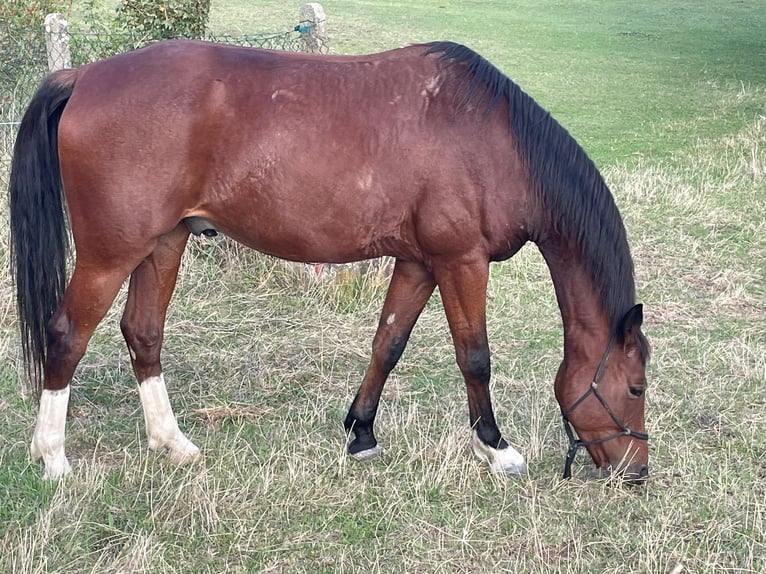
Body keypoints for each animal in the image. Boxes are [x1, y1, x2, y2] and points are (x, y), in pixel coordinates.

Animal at [9, 38, 652, 484]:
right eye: (636, 387)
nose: (637, 471)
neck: (494, 139)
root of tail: (84, 75)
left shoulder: (419, 264)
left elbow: (387, 344)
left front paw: (362, 433)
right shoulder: (461, 261)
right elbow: (475, 357)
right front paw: (496, 449)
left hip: (164, 244)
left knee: (142, 333)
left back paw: (173, 444)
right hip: (110, 253)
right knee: (66, 334)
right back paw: (54, 459)